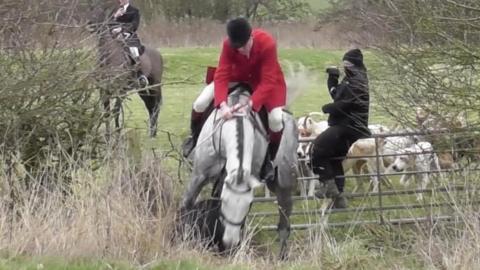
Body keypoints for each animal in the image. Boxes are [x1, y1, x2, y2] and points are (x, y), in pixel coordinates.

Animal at [86, 2, 161, 137]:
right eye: (92, 11)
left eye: (100, 14)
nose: (89, 24)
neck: (108, 58)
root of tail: (158, 53)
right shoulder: (104, 89)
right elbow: (107, 112)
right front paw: (108, 135)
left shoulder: (121, 90)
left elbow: (116, 111)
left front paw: (117, 134)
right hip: (143, 90)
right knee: (150, 106)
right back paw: (151, 132)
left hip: (155, 86)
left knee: (156, 106)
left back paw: (153, 134)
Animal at [182, 85, 298, 258]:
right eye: (223, 201)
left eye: (249, 205)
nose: (230, 243)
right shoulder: (199, 176)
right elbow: (186, 204)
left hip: (284, 185)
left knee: (284, 221)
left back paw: (282, 256)